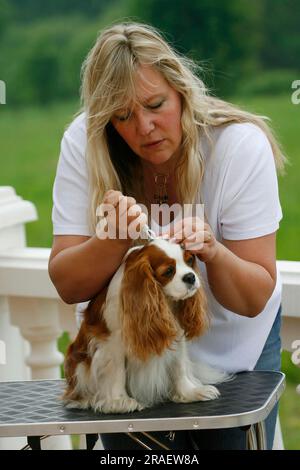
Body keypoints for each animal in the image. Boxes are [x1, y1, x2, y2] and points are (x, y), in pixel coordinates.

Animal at [62, 237, 227, 414]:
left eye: (189, 261)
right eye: (168, 271)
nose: (190, 277)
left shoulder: (176, 332)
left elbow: (179, 365)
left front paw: (189, 392)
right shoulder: (113, 343)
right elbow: (117, 372)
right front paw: (119, 401)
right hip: (79, 363)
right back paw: (85, 398)